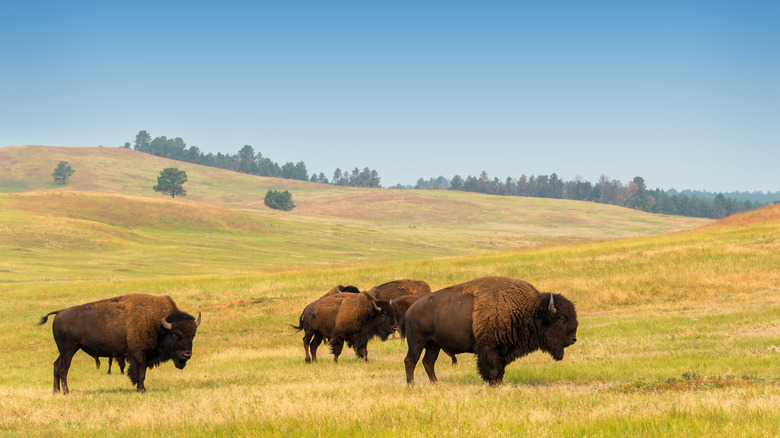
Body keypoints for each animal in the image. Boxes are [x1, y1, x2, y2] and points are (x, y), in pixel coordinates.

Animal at [38, 294, 201, 394]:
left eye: (193, 335)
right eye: (175, 334)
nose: (187, 354)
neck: (160, 324)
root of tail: (60, 312)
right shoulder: (139, 355)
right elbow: (141, 373)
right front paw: (142, 390)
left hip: (64, 351)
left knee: (56, 366)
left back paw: (56, 391)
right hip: (69, 350)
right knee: (63, 369)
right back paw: (66, 392)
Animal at [401, 276, 578, 386]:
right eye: (561, 318)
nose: (573, 339)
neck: (528, 309)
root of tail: (412, 306)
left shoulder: (503, 350)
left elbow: (500, 369)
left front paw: (499, 383)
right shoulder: (489, 349)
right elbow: (492, 369)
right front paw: (494, 384)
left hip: (433, 344)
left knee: (428, 362)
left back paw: (436, 384)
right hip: (417, 341)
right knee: (411, 360)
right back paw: (411, 386)